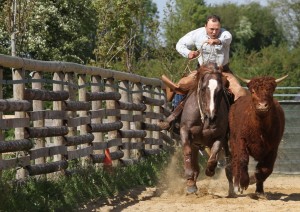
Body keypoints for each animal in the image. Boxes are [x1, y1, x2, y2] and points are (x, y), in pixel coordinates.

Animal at [178, 61, 234, 195]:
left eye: (220, 90)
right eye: (203, 89)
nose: (212, 116)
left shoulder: (220, 136)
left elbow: (213, 156)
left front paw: (210, 171)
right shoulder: (185, 131)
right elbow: (187, 152)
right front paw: (189, 180)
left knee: (228, 161)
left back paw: (232, 190)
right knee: (195, 163)